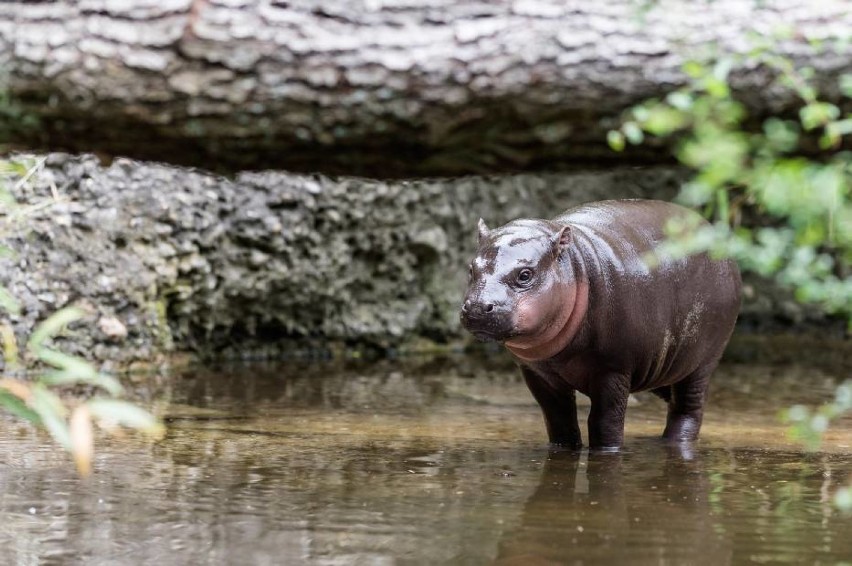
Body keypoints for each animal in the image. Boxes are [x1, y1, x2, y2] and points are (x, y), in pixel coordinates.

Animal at [460, 200, 740, 452]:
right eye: (471, 269)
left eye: (525, 274)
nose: (477, 306)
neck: (575, 266)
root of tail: (714, 234)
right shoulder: (537, 373)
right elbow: (559, 421)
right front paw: (564, 449)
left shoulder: (613, 369)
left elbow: (605, 422)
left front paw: (606, 451)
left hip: (702, 361)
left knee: (689, 408)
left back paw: (675, 441)